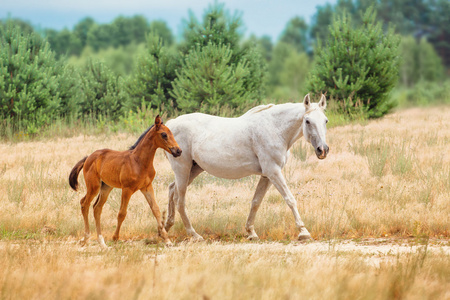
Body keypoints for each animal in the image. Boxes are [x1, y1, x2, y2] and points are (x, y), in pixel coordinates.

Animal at [68, 115, 181, 248]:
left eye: (171, 133)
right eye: (164, 134)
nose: (178, 151)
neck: (139, 161)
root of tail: (88, 158)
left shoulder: (147, 187)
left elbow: (156, 210)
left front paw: (167, 240)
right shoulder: (127, 189)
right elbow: (122, 213)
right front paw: (115, 237)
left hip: (106, 187)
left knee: (97, 208)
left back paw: (101, 242)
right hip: (93, 186)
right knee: (84, 203)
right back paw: (86, 238)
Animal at [163, 95, 328, 240]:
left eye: (325, 121)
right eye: (307, 121)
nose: (323, 150)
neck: (274, 128)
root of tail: (170, 125)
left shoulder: (266, 176)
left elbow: (256, 202)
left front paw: (251, 232)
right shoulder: (273, 172)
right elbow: (290, 199)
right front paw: (304, 232)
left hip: (193, 169)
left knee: (171, 189)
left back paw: (165, 228)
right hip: (182, 169)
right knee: (180, 201)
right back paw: (194, 235)